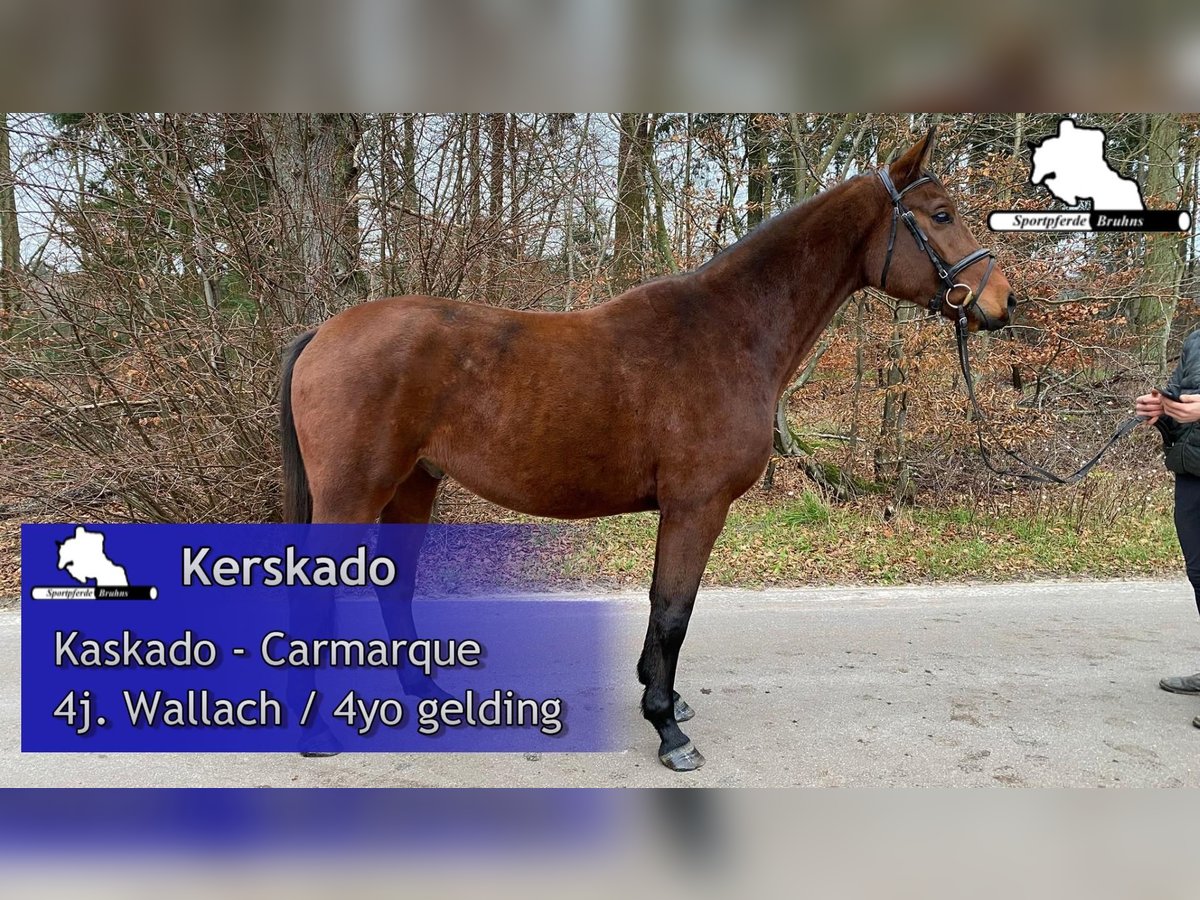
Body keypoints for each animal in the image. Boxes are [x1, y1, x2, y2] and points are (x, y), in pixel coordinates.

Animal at [278, 127, 1012, 772]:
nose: (1002, 301)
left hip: (414, 484)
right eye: (941, 214)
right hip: (355, 494)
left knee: (394, 590)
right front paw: (667, 727)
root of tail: (321, 334)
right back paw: (317, 735)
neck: (731, 330)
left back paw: (426, 696)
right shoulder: (696, 506)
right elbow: (673, 611)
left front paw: (667, 700)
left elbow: (666, 611)